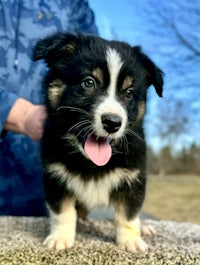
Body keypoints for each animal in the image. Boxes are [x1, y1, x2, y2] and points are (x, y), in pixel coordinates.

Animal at [32, 33, 163, 252]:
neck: (91, 163)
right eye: (89, 82)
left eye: (129, 93)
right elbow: (63, 212)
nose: (112, 123)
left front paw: (130, 241)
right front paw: (60, 238)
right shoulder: (55, 176)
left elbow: (128, 214)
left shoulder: (133, 177)